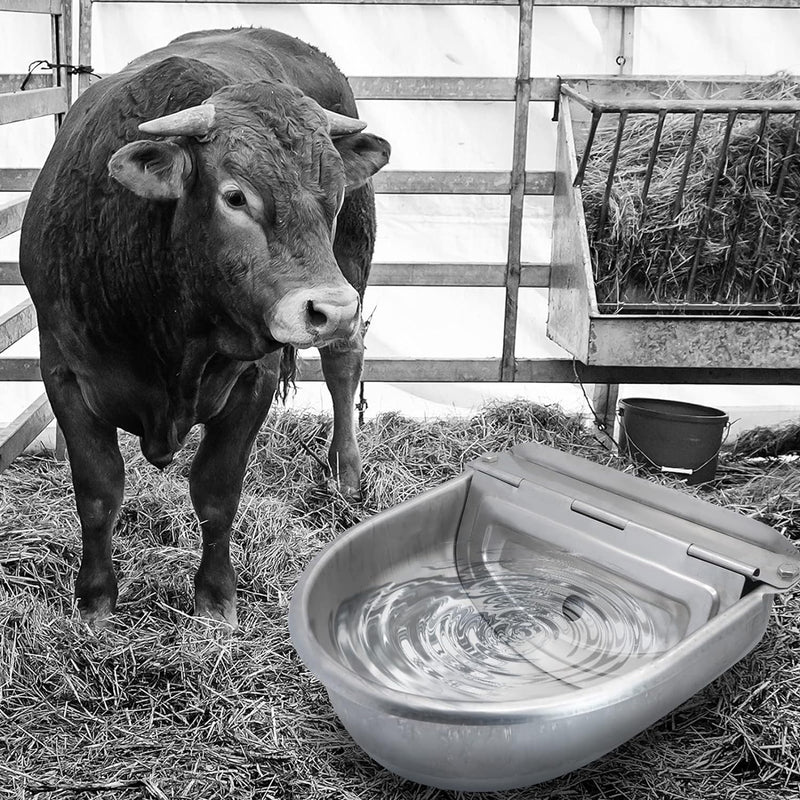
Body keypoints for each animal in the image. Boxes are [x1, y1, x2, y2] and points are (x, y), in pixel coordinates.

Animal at [19, 28, 391, 628]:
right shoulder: (64, 372)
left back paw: (346, 473)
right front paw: (95, 600)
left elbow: (217, 493)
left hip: (354, 262)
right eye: (235, 195)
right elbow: (98, 492)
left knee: (343, 367)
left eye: (332, 193)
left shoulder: (253, 379)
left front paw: (216, 600)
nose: (330, 308)